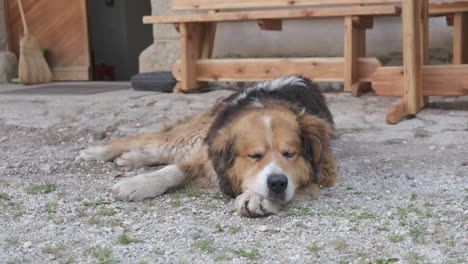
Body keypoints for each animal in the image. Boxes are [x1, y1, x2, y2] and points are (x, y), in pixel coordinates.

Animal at [79, 76, 336, 217]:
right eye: (254, 156)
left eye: (289, 154)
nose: (277, 183)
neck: (266, 103)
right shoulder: (208, 155)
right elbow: (172, 170)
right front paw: (139, 183)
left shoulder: (320, 174)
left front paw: (256, 197)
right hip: (194, 133)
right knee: (151, 139)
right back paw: (98, 152)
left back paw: (131, 158)